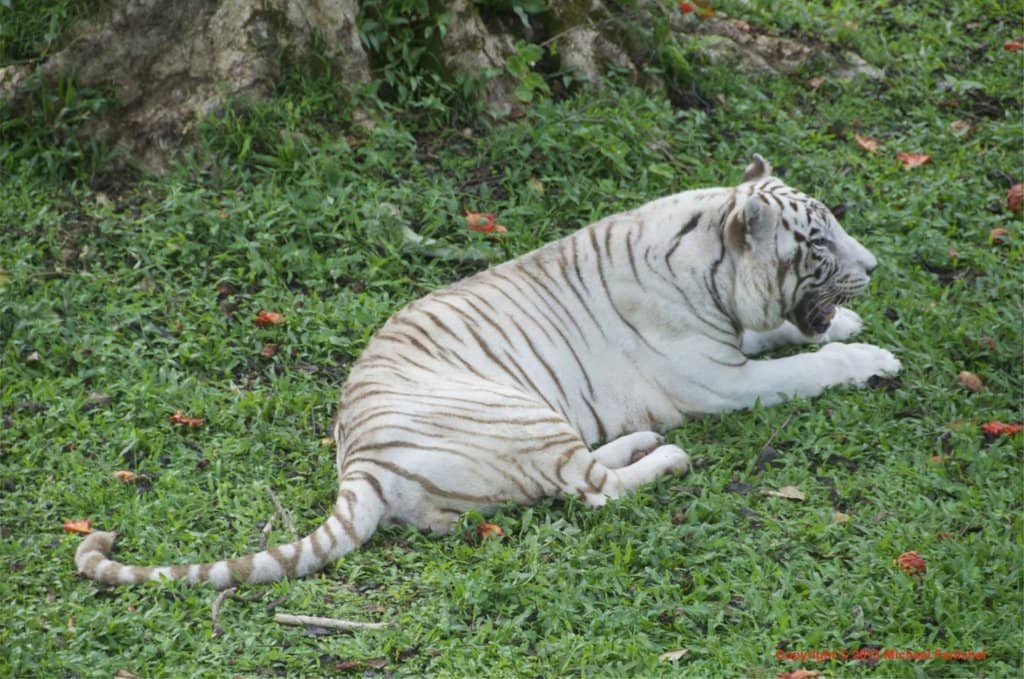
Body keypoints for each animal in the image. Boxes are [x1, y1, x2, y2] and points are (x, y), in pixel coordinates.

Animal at [76, 154, 900, 589]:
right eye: (817, 241)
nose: (873, 266)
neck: (711, 265)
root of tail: (359, 462)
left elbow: (789, 333)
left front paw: (851, 324)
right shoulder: (722, 379)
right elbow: (806, 364)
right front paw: (869, 354)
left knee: (574, 473)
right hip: (517, 409)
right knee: (590, 489)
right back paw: (664, 453)